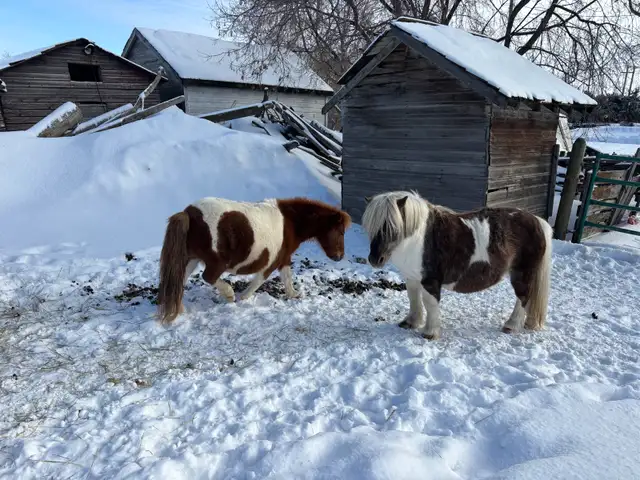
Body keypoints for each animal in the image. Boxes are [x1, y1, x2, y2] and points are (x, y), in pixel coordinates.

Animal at [157, 196, 351, 324]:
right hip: (215, 262)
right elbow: (259, 281)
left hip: (192, 259)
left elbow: (287, 278)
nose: (339, 257)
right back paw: (229, 294)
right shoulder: (272, 262)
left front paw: (294, 295)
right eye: (341, 232)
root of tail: (189, 213)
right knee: (208, 277)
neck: (290, 223)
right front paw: (242, 297)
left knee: (180, 279)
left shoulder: (283, 259)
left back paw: (179, 309)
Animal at [361, 190, 553, 340]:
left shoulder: (430, 280)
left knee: (523, 298)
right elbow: (413, 298)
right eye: (371, 228)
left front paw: (430, 333)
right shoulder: (412, 277)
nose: (375, 259)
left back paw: (511, 325)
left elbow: (430, 303)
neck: (419, 239)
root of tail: (536, 220)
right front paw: (411, 322)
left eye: (392, 228)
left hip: (522, 273)